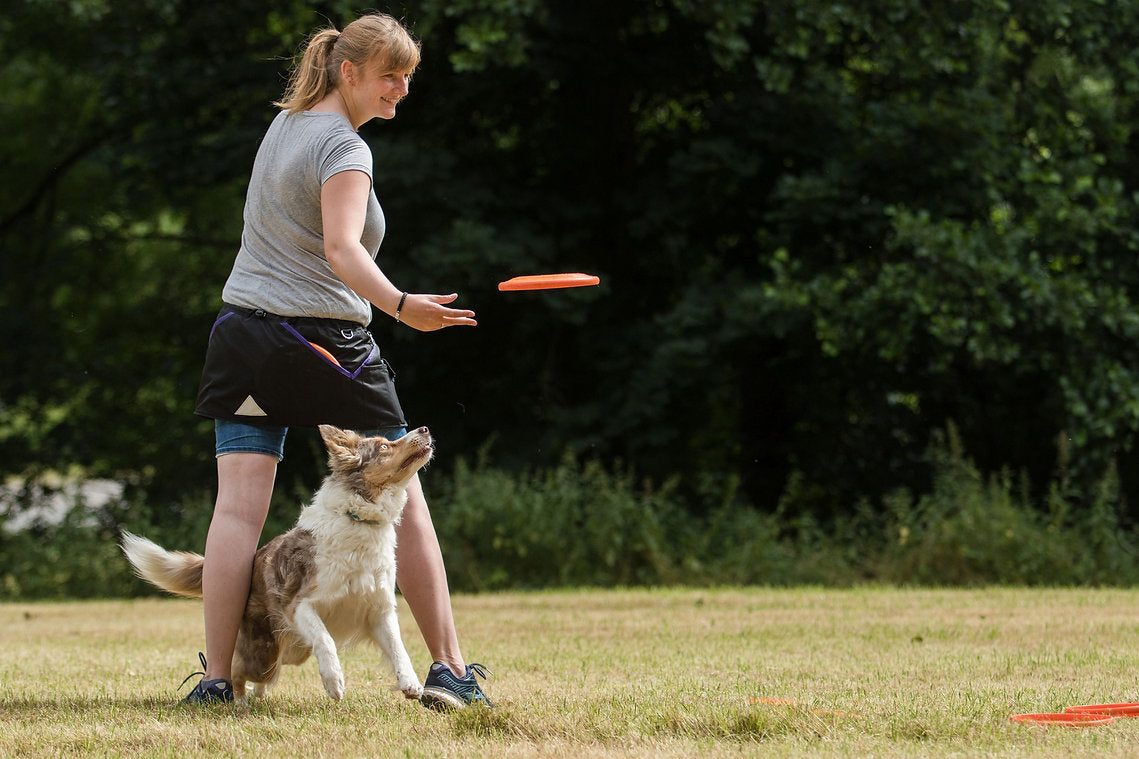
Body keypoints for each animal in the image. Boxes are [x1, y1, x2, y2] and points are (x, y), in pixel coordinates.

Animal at [120, 421, 430, 702]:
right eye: (383, 446)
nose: (424, 429)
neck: (358, 519)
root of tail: (252, 561)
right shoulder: (298, 604)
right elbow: (325, 639)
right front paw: (334, 681)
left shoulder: (378, 609)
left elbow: (399, 647)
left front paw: (411, 683)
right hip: (264, 654)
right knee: (237, 670)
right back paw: (234, 701)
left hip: (292, 652)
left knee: (263, 676)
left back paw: (256, 695)